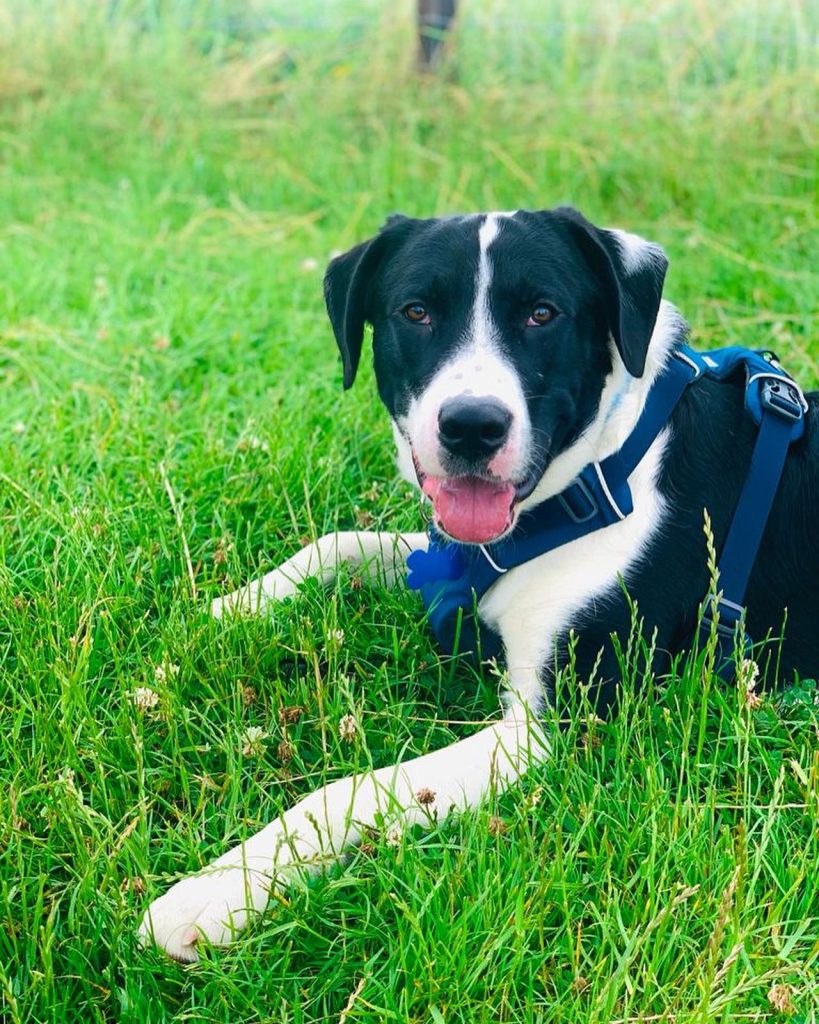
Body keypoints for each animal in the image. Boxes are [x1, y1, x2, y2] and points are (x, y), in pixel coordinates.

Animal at [137, 207, 814, 958]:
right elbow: (334, 545)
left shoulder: (552, 725)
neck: (603, 469)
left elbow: (352, 789)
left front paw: (216, 891)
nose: (471, 426)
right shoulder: (451, 559)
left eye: (543, 313)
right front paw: (223, 614)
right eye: (416, 311)